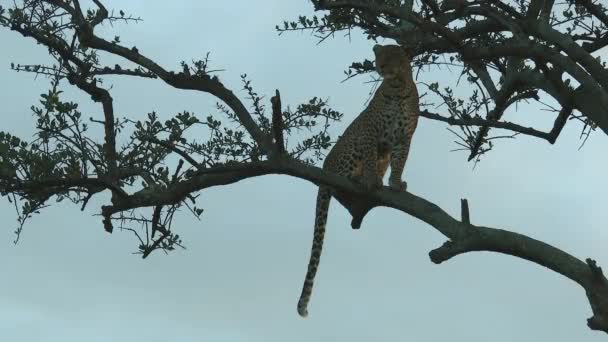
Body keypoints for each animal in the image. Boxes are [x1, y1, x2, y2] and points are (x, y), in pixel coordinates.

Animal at [296, 44, 420, 316]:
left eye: (392, 56)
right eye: (379, 56)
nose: (381, 66)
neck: (397, 87)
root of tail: (325, 168)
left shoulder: (404, 138)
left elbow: (400, 162)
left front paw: (396, 184)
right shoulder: (370, 132)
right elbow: (372, 159)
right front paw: (372, 181)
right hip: (350, 147)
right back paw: (358, 178)